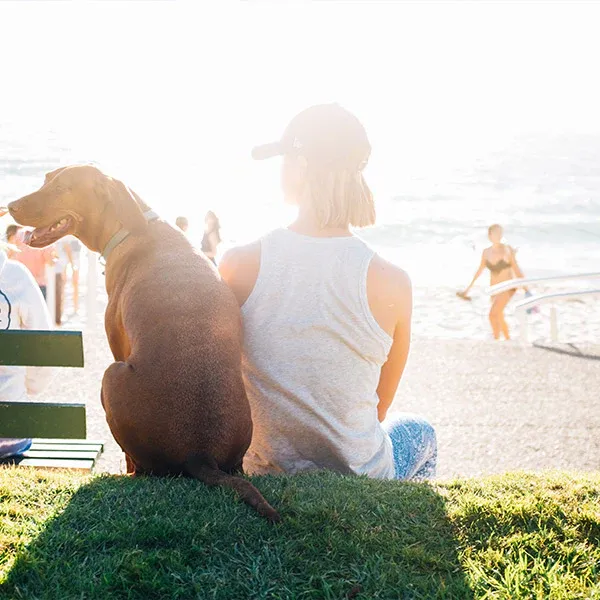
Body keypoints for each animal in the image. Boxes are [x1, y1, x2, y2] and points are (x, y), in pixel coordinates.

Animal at [7, 163, 278, 520]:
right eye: (45, 180)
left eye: (63, 188)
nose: (10, 206)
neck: (132, 226)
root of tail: (200, 454)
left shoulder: (117, 346)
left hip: (110, 376)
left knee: (140, 464)